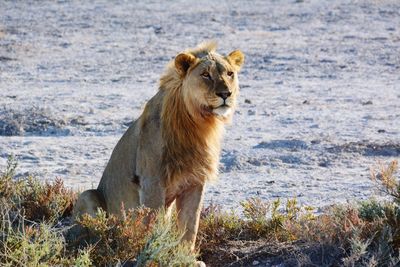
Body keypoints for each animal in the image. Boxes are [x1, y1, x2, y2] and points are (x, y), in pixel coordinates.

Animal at [73, 43, 245, 258]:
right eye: (206, 75)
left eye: (230, 74)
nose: (226, 94)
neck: (197, 123)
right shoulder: (152, 181)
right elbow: (152, 223)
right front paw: (153, 251)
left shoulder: (195, 181)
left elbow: (190, 225)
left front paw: (186, 257)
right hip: (87, 196)